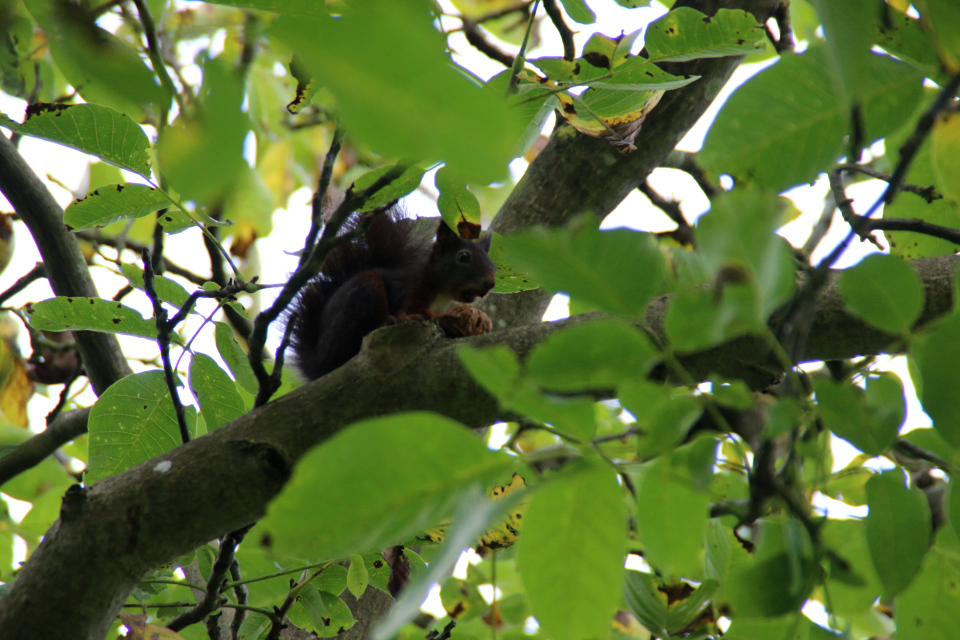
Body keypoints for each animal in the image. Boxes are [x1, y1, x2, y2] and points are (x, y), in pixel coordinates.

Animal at [284, 210, 496, 380]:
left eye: (492, 262)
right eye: (463, 256)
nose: (490, 284)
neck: (441, 294)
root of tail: (317, 365)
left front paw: (477, 320)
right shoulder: (413, 290)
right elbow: (415, 310)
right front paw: (448, 320)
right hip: (363, 291)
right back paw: (388, 320)